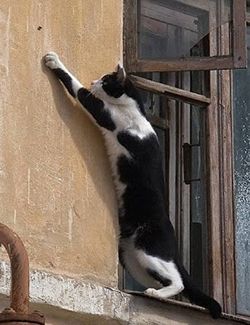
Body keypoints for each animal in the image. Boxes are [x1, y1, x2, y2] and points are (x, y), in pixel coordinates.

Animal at [44, 52, 222, 318]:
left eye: (106, 80)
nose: (95, 80)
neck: (134, 110)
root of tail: (173, 242)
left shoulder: (103, 112)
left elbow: (77, 88)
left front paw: (54, 61)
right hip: (131, 256)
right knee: (165, 279)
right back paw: (151, 292)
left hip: (148, 250)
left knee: (178, 281)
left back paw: (157, 293)